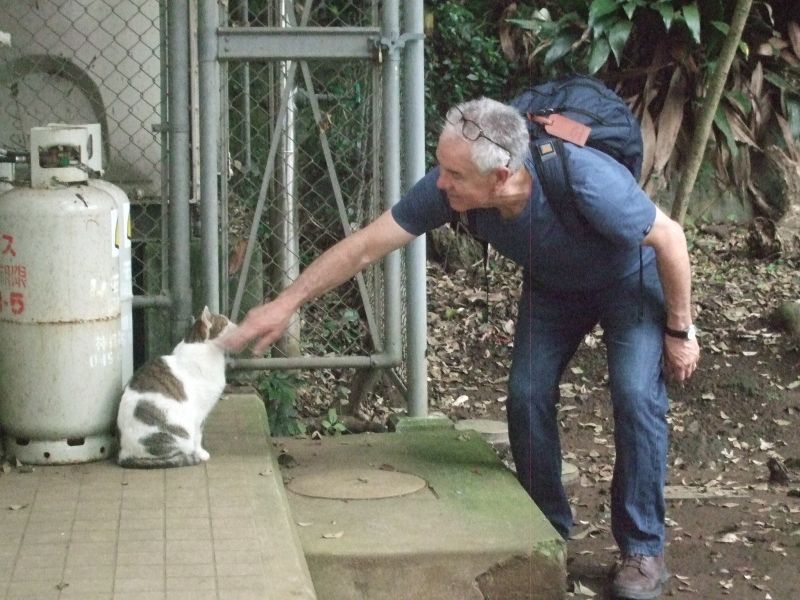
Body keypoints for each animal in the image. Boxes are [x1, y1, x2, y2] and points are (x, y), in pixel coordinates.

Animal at [115, 310, 236, 468]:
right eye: (225, 323)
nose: (237, 325)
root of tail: (124, 453)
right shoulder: (200, 413)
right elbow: (198, 435)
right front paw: (201, 453)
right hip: (178, 432)